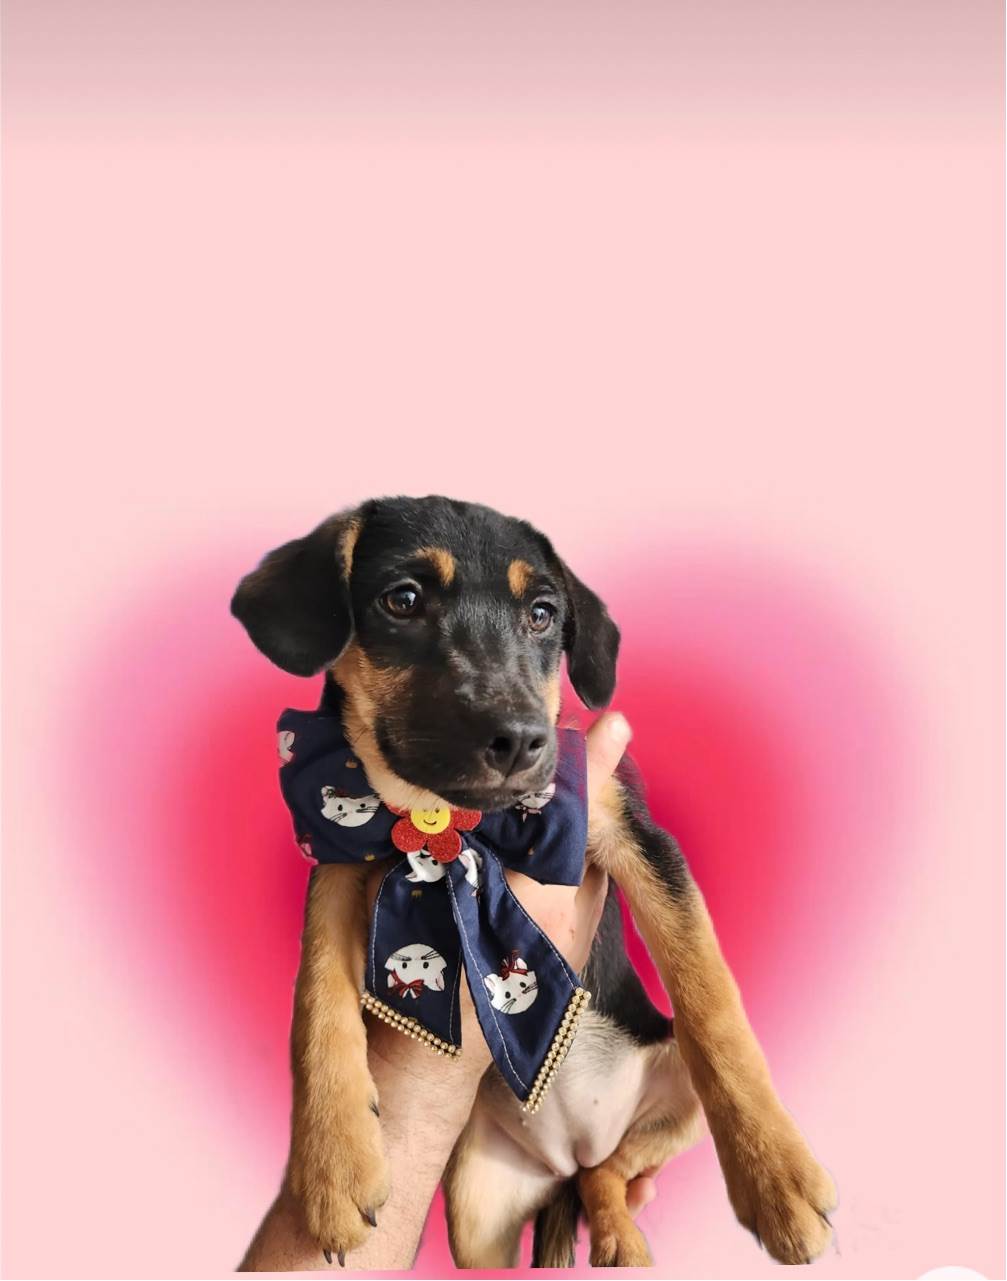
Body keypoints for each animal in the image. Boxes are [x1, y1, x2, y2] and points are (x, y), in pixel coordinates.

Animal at [231, 494, 835, 1269]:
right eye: (403, 600)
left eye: (543, 614)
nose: (520, 740)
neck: (446, 819)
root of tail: (564, 1151)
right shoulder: (337, 860)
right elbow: (313, 1004)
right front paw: (333, 1165)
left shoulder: (632, 831)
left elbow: (713, 1002)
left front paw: (776, 1176)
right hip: (474, 1211)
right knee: (585, 1180)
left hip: (673, 1097)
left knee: (608, 1170)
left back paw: (623, 1238)